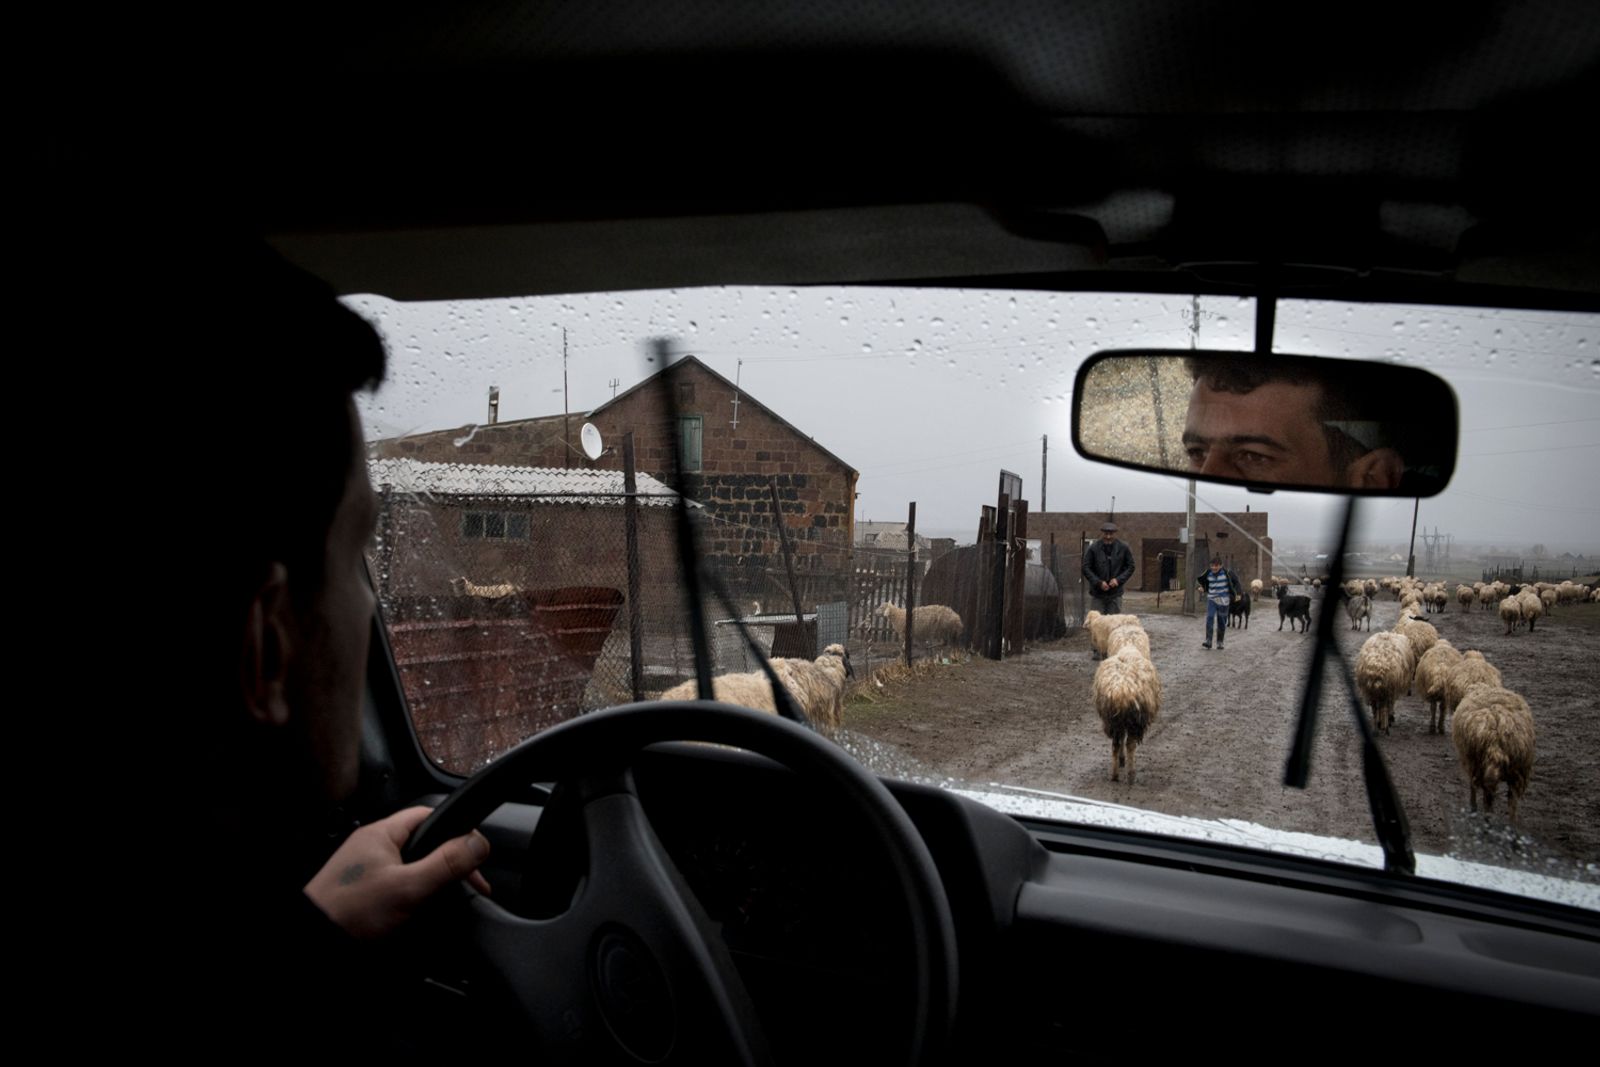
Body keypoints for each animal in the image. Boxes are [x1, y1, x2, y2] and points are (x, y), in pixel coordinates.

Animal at [1088, 643, 1164, 783]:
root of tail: (1121, 691)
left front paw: (1121, 760)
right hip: (1134, 721)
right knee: (1130, 745)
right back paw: (1131, 775)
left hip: (1112, 720)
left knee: (1115, 744)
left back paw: (1115, 774)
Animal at [1452, 684, 1536, 825]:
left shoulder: (1470, 763)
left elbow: (1472, 786)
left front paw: (1473, 807)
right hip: (1518, 771)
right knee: (1512, 803)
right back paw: (1511, 826)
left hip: (1479, 764)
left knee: (1487, 797)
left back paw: (1487, 821)